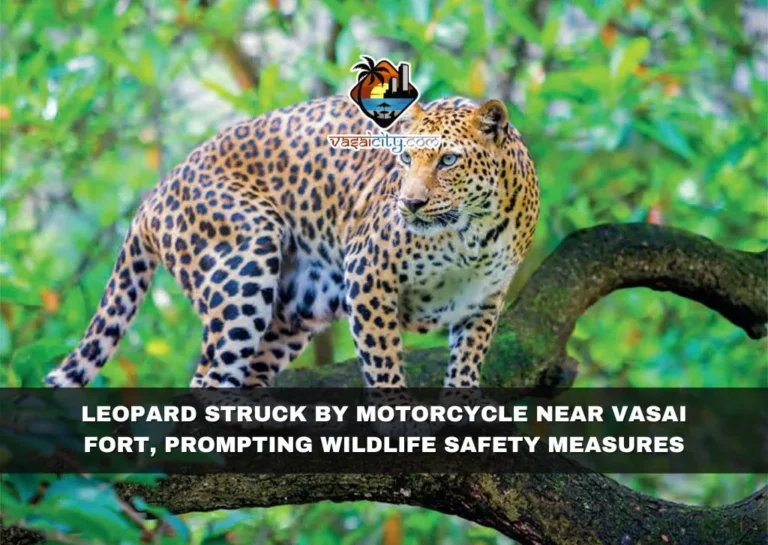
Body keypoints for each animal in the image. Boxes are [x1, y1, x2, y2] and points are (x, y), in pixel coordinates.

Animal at [44, 94, 539, 389]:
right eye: (404, 159)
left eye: (448, 160)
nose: (410, 203)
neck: (473, 233)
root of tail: (154, 195)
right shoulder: (367, 275)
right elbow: (384, 363)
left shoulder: (484, 300)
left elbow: (467, 363)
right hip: (243, 268)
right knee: (208, 377)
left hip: (295, 310)